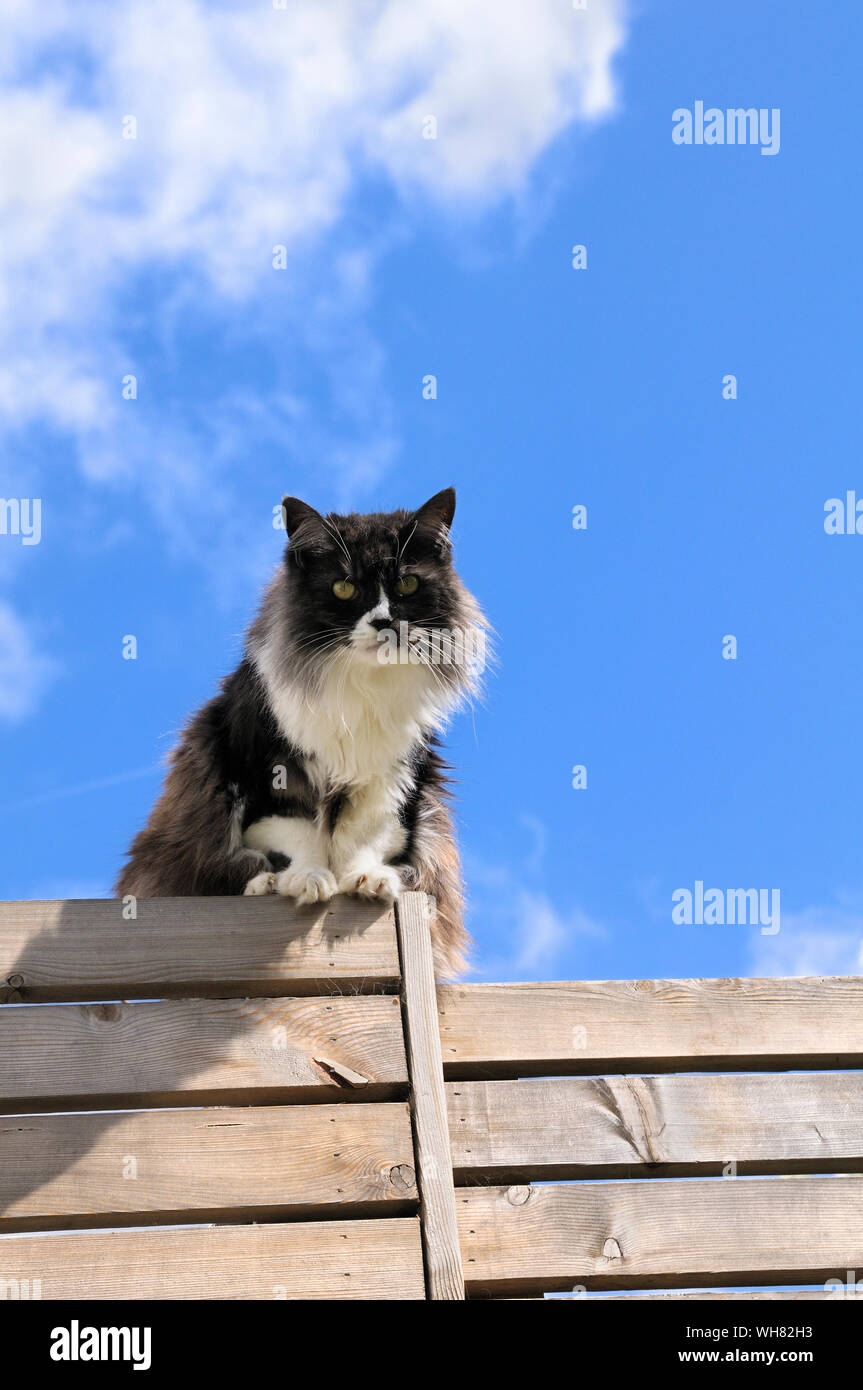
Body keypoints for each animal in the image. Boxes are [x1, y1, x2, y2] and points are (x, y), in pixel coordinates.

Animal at [116, 489, 483, 978]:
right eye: (344, 588)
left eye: (407, 585)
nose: (383, 623)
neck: (360, 686)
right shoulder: (269, 768)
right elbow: (297, 833)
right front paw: (309, 880)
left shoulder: (392, 776)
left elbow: (365, 835)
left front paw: (364, 880)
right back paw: (269, 883)